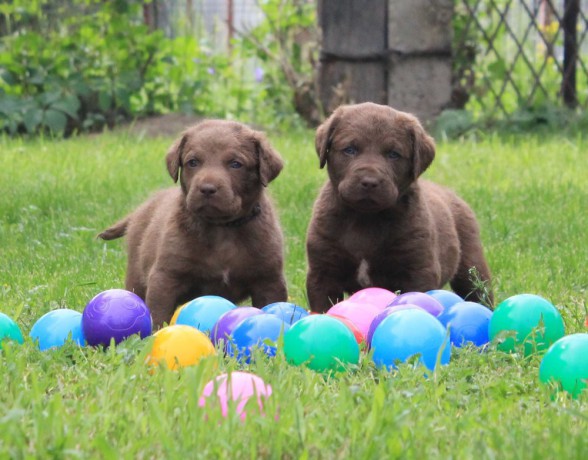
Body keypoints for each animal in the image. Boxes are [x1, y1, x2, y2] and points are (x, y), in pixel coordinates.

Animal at [100, 119, 288, 328]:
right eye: (193, 162)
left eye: (235, 164)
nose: (207, 189)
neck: (223, 229)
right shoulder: (165, 276)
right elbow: (158, 314)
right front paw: (155, 335)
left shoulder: (269, 280)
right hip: (136, 275)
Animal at [306, 103, 494, 312]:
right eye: (350, 150)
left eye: (393, 154)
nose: (369, 182)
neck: (365, 218)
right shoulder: (323, 273)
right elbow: (323, 307)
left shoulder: (419, 271)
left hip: (472, 267)